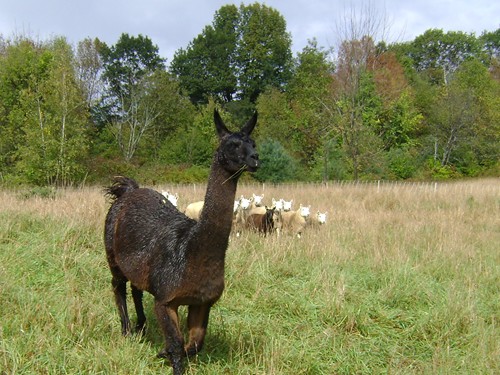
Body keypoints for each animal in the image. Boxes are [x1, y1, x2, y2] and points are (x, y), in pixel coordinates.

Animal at [102, 109, 258, 375]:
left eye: (254, 143)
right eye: (232, 145)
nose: (255, 158)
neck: (193, 251)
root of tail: (129, 191)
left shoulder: (203, 302)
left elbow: (194, 344)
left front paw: (161, 352)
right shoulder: (165, 300)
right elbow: (177, 345)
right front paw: (168, 355)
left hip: (139, 265)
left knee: (136, 288)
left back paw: (141, 327)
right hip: (112, 251)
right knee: (118, 286)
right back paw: (126, 330)